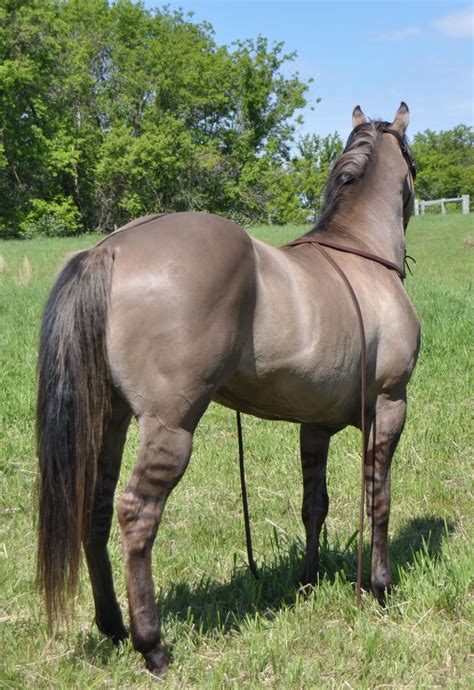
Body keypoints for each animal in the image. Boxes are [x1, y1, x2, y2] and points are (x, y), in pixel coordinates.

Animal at [36, 103, 420, 677]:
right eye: (413, 163)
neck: (361, 257)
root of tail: (112, 248)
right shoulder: (390, 406)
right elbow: (379, 498)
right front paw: (381, 586)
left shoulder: (315, 425)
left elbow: (314, 503)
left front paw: (308, 581)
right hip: (170, 428)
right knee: (136, 515)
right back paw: (151, 644)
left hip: (110, 421)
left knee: (98, 509)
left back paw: (112, 626)